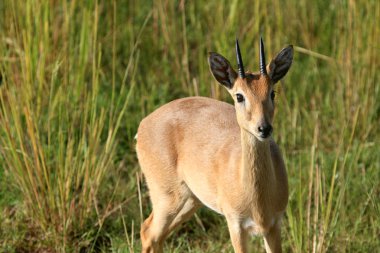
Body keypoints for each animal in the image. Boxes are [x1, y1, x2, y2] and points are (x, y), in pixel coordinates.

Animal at [137, 37, 294, 253]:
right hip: (167, 197)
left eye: (272, 92)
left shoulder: (274, 225)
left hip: (190, 200)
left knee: (154, 236)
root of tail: (143, 124)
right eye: (239, 95)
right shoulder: (235, 224)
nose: (264, 128)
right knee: (147, 231)